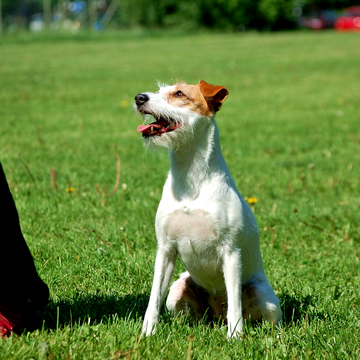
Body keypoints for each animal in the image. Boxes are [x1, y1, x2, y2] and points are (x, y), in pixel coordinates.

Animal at [134, 80, 282, 338]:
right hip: (177, 290)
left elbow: (235, 304)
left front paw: (235, 337)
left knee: (267, 317)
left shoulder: (231, 252)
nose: (139, 98)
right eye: (160, 90)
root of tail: (217, 313)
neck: (190, 179)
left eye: (179, 93)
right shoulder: (165, 250)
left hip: (263, 295)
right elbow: (153, 299)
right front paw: (147, 333)